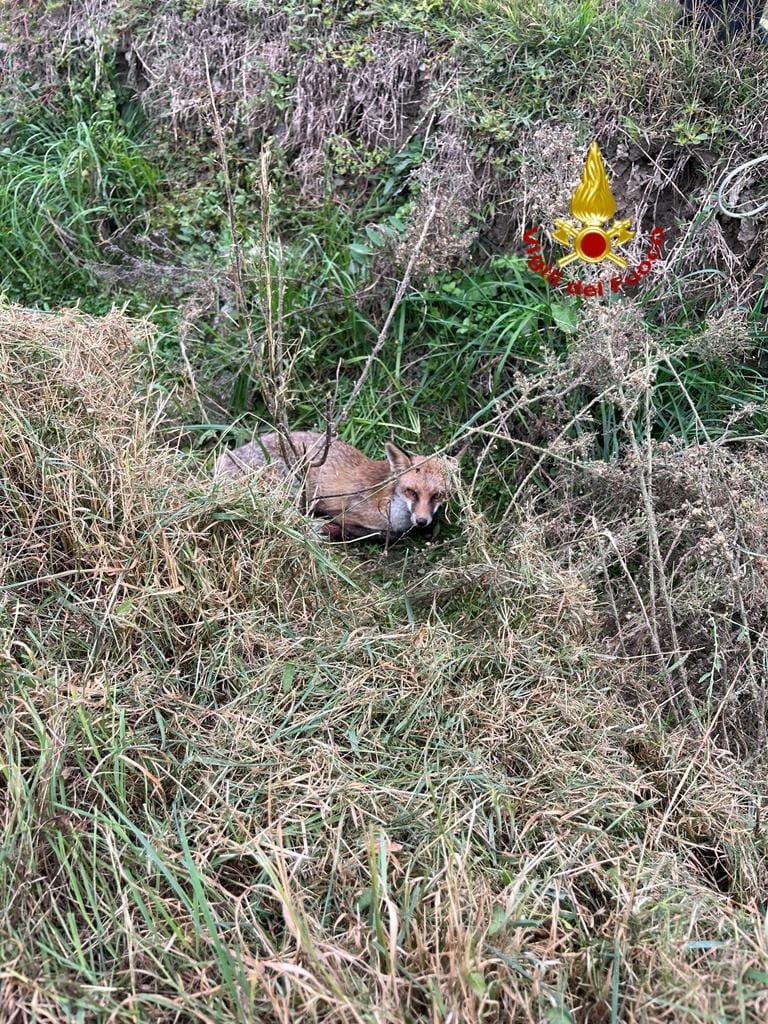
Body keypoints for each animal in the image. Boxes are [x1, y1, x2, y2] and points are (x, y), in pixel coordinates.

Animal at [214, 430, 450, 542]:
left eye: (437, 495)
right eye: (411, 492)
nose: (421, 521)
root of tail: (223, 459)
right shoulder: (342, 510)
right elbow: (383, 534)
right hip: (293, 484)